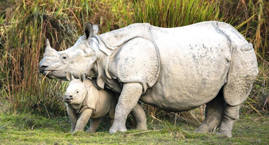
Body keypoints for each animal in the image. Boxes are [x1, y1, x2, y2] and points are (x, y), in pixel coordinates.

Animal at [38, 21, 258, 137]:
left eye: (64, 57)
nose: (41, 67)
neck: (101, 51)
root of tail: (240, 34)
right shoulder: (129, 81)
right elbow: (133, 106)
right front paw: (141, 130)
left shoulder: (134, 79)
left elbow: (123, 105)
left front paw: (115, 133)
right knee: (216, 94)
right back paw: (200, 134)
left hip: (241, 52)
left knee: (232, 95)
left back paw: (222, 136)